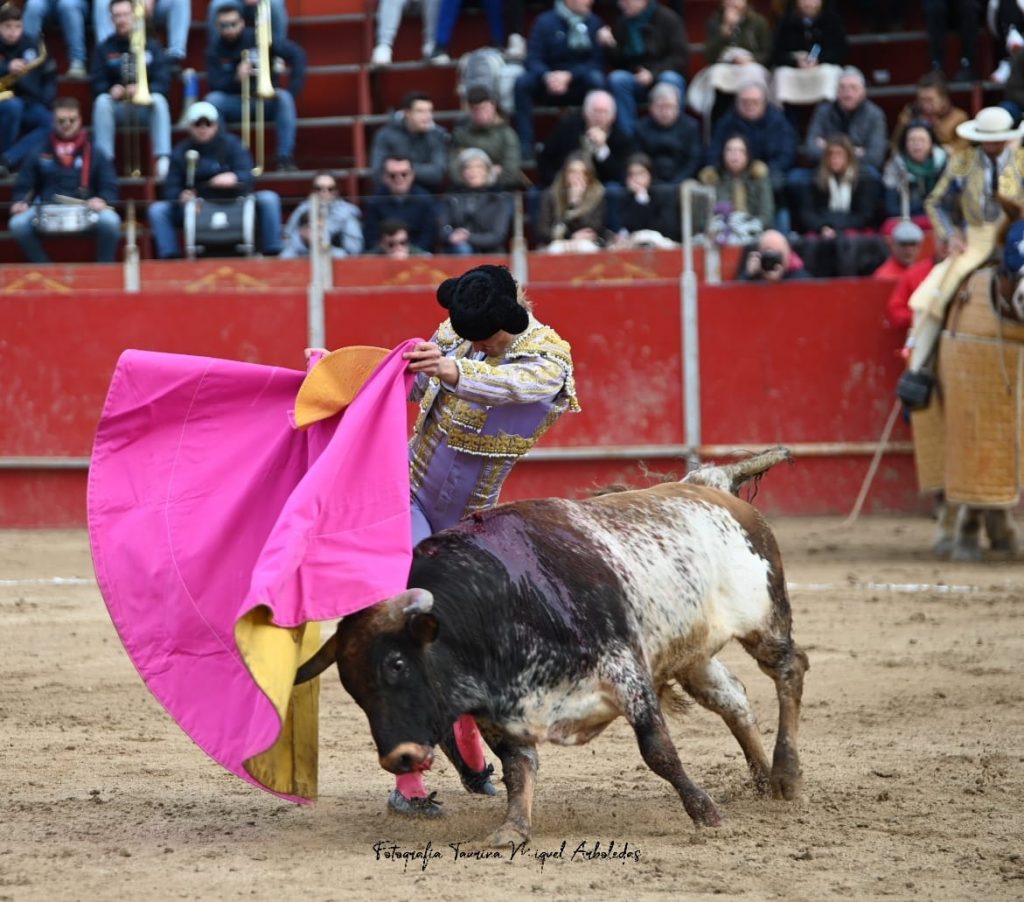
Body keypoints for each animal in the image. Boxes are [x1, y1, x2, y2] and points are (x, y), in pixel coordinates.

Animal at [296, 446, 806, 839]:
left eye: (397, 664)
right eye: (353, 689)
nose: (398, 757)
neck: (500, 603)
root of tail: (710, 483)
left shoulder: (626, 672)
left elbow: (657, 750)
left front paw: (704, 814)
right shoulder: (501, 711)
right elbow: (518, 768)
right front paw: (512, 829)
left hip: (765, 619)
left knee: (789, 669)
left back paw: (787, 775)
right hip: (690, 655)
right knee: (733, 698)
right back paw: (763, 781)